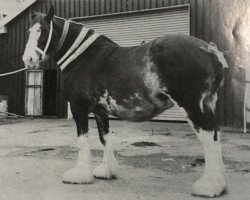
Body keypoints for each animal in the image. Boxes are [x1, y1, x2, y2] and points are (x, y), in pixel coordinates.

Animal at [22, 6, 228, 198]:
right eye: (29, 31)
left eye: (43, 29)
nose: (28, 59)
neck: (83, 57)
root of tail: (209, 51)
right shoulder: (100, 111)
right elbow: (104, 137)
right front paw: (107, 170)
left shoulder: (79, 107)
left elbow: (82, 138)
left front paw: (80, 174)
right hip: (207, 105)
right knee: (215, 135)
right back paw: (219, 185)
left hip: (193, 106)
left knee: (208, 138)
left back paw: (208, 186)